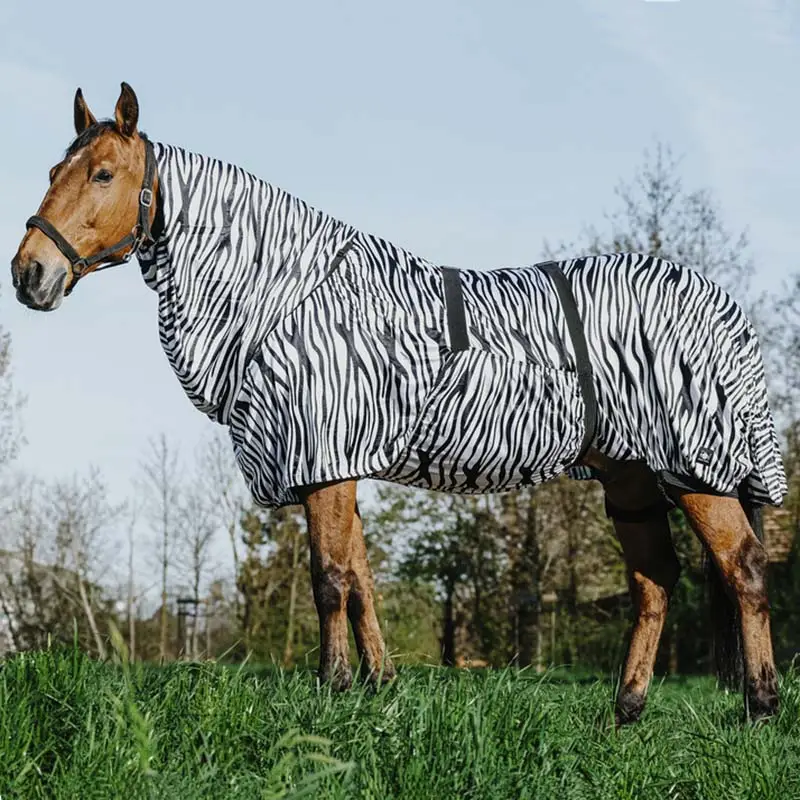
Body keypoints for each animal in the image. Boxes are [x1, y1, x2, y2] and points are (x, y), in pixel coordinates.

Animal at [11, 83, 784, 726]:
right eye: (51, 173)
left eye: (102, 175)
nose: (28, 274)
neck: (288, 295)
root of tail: (719, 304)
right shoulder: (335, 463)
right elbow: (361, 580)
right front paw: (378, 685)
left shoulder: (322, 457)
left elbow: (329, 580)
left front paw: (332, 688)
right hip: (629, 477)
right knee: (655, 580)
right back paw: (627, 709)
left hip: (697, 467)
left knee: (743, 568)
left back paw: (759, 706)